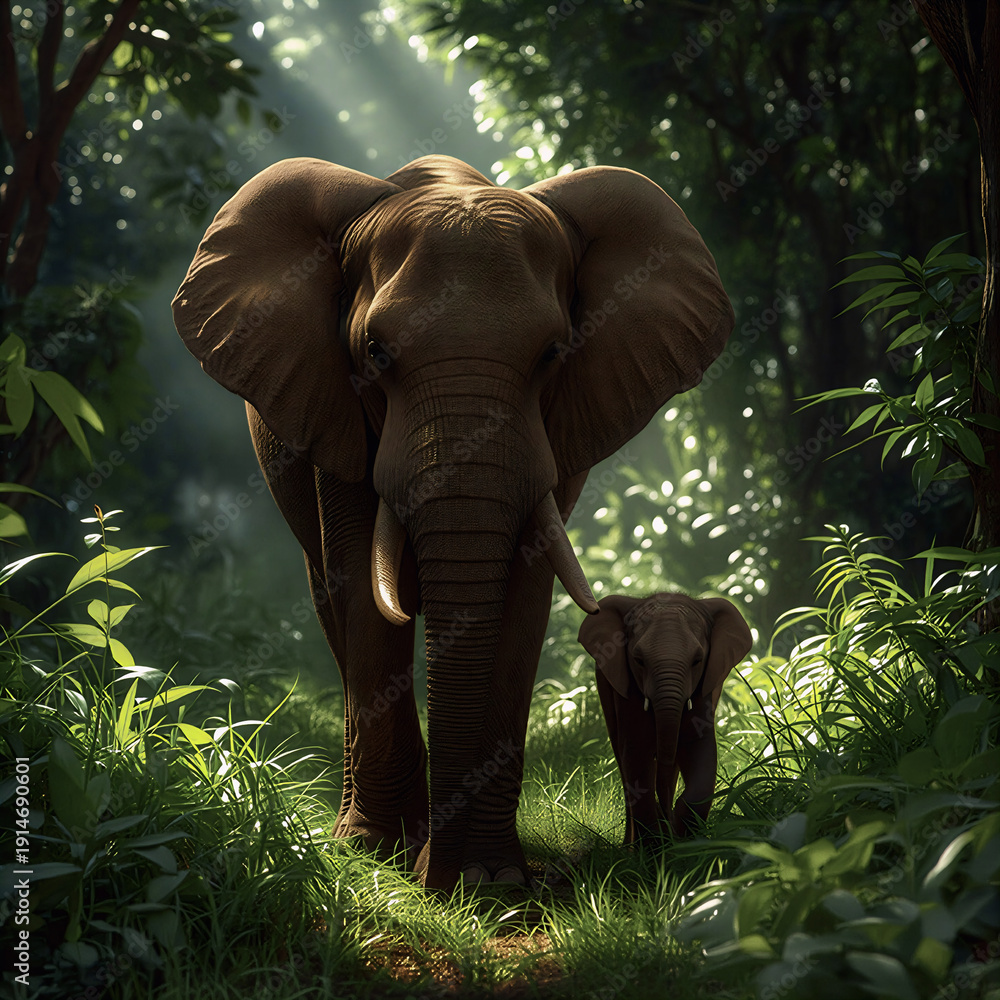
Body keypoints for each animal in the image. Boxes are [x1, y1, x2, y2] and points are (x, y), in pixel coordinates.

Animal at [172, 153, 734, 891]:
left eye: (553, 354)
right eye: (376, 354)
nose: (435, 878)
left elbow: (525, 592)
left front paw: (493, 880)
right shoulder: (334, 404)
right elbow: (360, 584)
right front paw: (377, 853)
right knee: (330, 596)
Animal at [579, 592, 752, 844]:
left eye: (697, 660)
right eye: (638, 660)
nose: (668, 825)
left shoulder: (705, 691)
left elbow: (700, 749)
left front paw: (683, 839)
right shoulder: (627, 691)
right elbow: (636, 754)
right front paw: (654, 848)